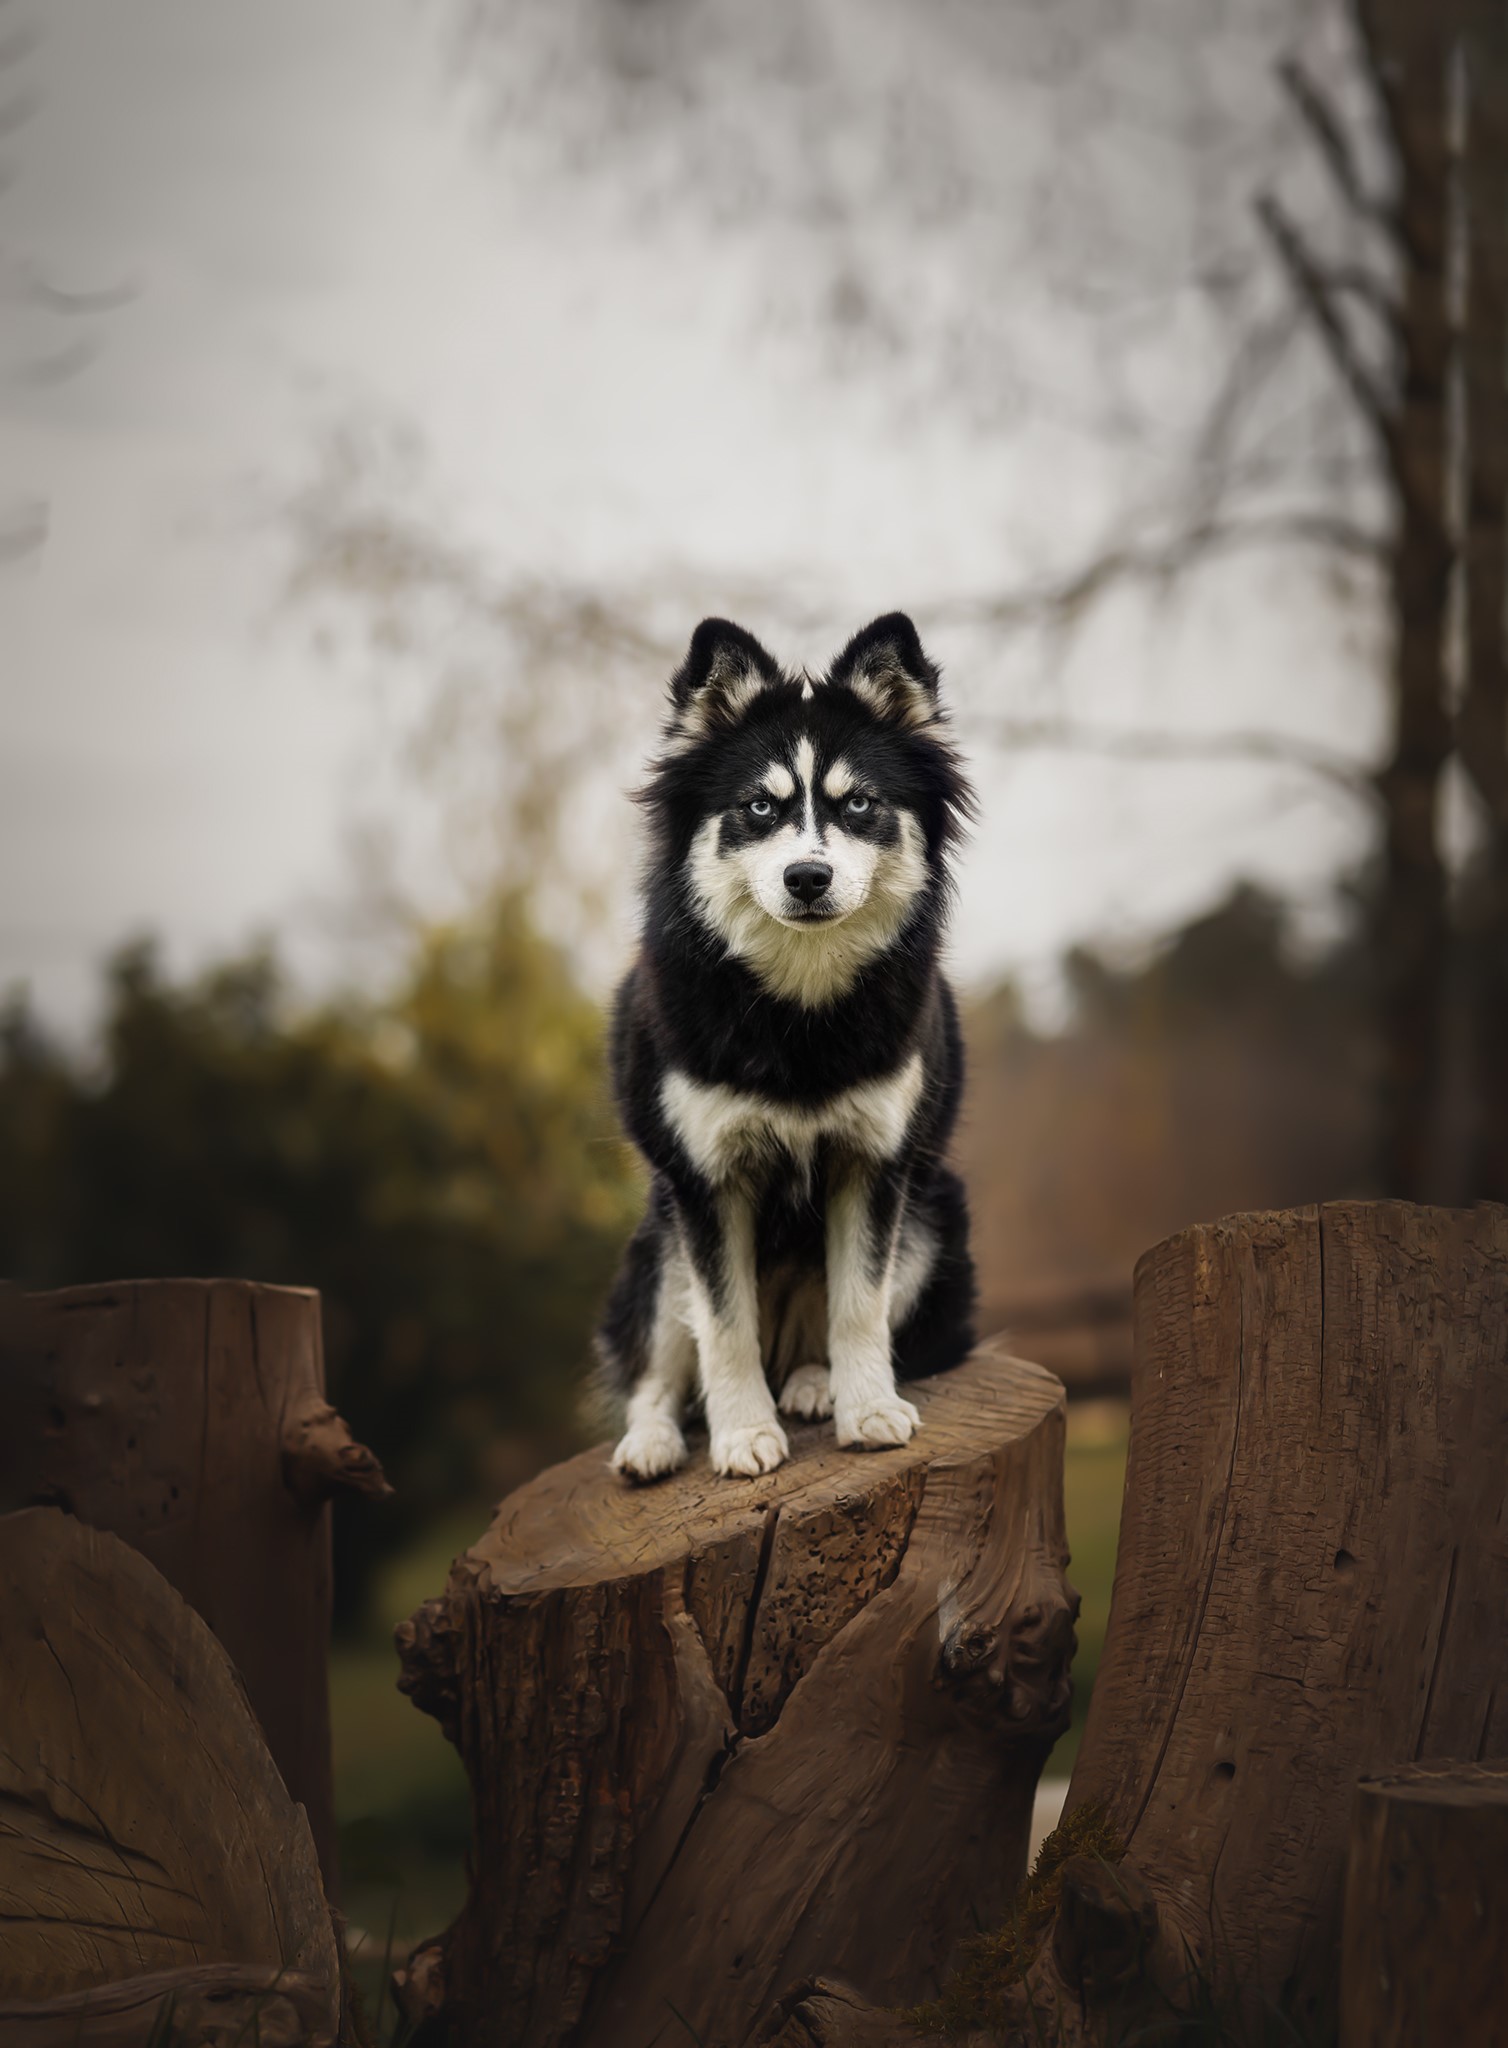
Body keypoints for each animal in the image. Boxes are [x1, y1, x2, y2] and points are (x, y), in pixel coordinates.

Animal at [594, 614, 983, 1482]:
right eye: (758, 808)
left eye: (860, 803)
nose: (808, 877)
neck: (797, 1008)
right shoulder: (706, 1183)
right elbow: (724, 1328)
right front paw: (742, 1435)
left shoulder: (876, 1164)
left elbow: (858, 1306)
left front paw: (867, 1410)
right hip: (658, 1247)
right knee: (658, 1372)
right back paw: (652, 1442)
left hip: (933, 1216)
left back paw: (812, 1384)